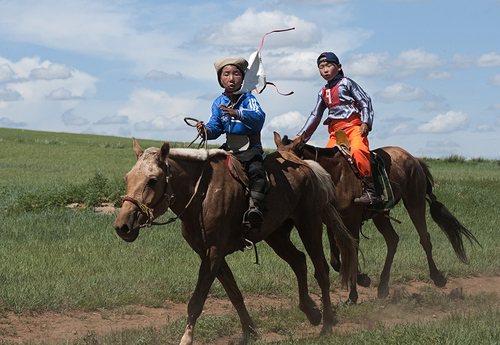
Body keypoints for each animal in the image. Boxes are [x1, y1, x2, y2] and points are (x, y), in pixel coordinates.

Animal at [113, 138, 358, 344]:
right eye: (126, 178)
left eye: (153, 180)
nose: (122, 226)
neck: (202, 193)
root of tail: (307, 165)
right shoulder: (210, 254)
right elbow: (234, 293)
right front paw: (249, 332)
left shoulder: (213, 252)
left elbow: (197, 301)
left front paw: (186, 339)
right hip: (276, 235)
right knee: (299, 261)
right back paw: (312, 312)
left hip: (309, 225)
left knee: (321, 270)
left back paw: (327, 324)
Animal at [274, 132, 480, 304]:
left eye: (291, 162)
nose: (284, 187)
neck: (335, 174)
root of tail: (414, 159)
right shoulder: (332, 223)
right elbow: (336, 260)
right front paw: (363, 279)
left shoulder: (352, 221)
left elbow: (352, 252)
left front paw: (353, 294)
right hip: (381, 216)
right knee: (392, 239)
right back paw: (383, 287)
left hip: (415, 202)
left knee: (424, 238)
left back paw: (437, 277)